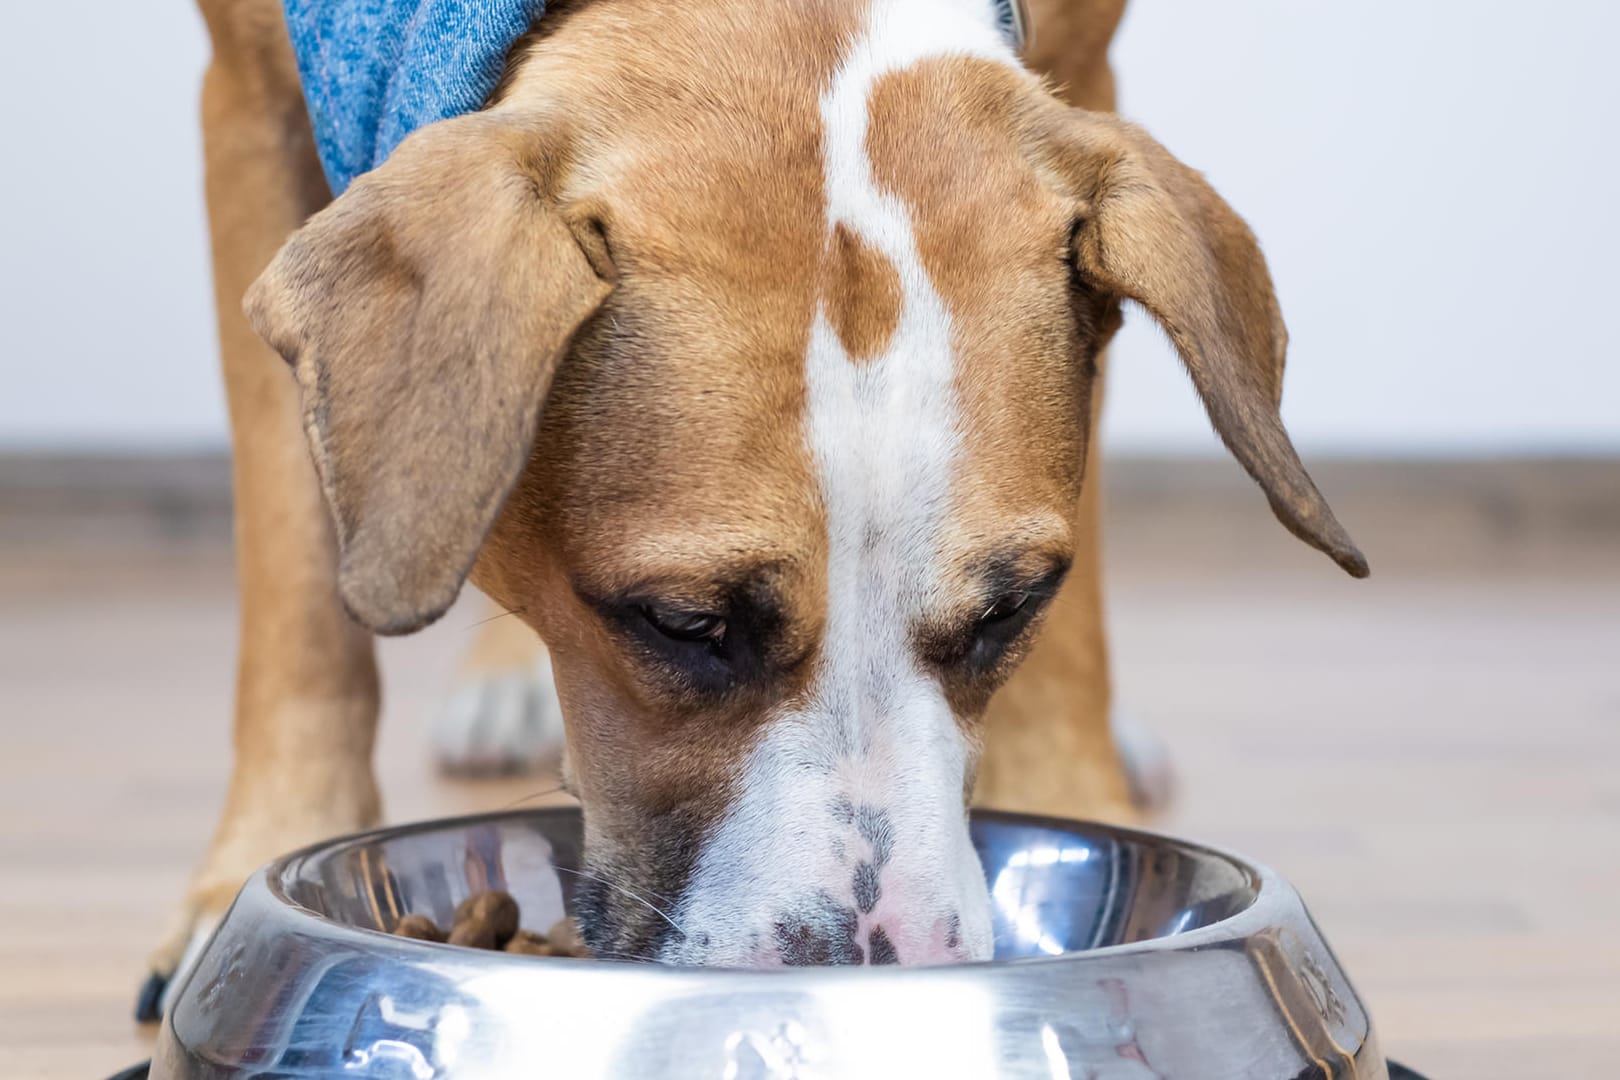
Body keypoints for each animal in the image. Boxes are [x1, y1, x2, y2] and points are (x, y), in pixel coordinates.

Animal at [149, 0, 1367, 1016]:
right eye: (683, 622)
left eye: (1012, 610)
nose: (873, 973)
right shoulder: (250, 104)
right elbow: (298, 584)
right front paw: (257, 861)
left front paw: (1080, 786)